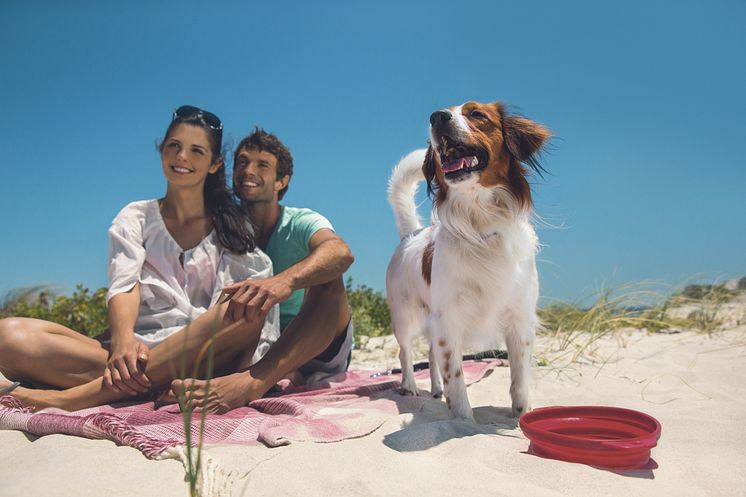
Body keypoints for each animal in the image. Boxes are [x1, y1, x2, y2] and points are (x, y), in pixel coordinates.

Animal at [386, 100, 548, 418]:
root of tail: (410, 234)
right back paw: (409, 385)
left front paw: (521, 415)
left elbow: (520, 377)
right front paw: (463, 420)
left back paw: (435, 389)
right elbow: (456, 377)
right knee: (406, 352)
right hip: (405, 317)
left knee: (429, 355)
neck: (479, 224)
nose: (437, 117)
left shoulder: (520, 319)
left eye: (477, 114)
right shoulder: (447, 321)